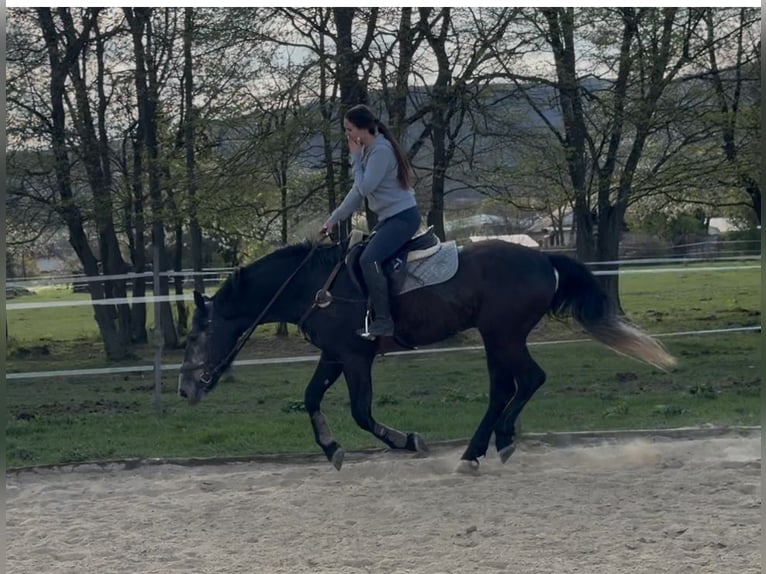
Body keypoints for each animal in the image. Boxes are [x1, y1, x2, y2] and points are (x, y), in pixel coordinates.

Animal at [178, 236, 676, 472]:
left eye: (196, 336)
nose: (185, 389)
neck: (315, 286)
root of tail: (543, 259)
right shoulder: (334, 356)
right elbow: (312, 398)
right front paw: (332, 449)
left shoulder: (355, 358)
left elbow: (361, 413)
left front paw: (408, 440)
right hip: (498, 338)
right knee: (505, 389)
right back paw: (484, 448)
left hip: (503, 336)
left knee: (527, 381)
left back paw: (488, 447)